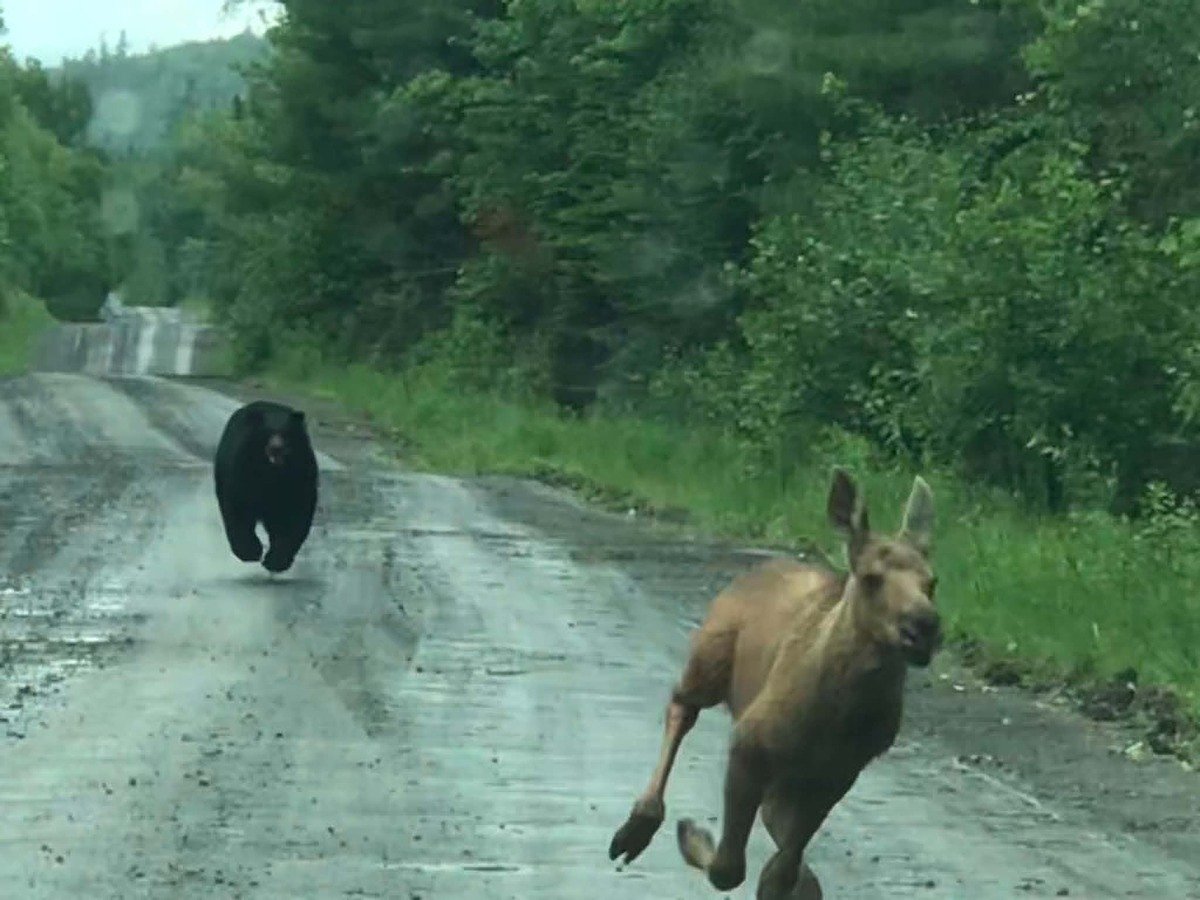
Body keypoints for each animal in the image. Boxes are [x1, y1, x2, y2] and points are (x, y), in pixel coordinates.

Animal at [214, 400, 319, 574]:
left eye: (286, 433)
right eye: (267, 432)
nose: (276, 447)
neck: (272, 472)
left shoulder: (301, 477)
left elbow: (295, 515)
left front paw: (276, 561)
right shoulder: (241, 471)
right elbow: (239, 508)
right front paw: (249, 551)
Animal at [608, 467, 940, 899]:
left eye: (933, 582)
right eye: (870, 578)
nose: (924, 627)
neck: (840, 713)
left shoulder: (839, 773)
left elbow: (783, 867)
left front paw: (786, 880)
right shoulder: (749, 743)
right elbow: (729, 868)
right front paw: (695, 836)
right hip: (710, 657)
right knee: (682, 705)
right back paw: (639, 826)